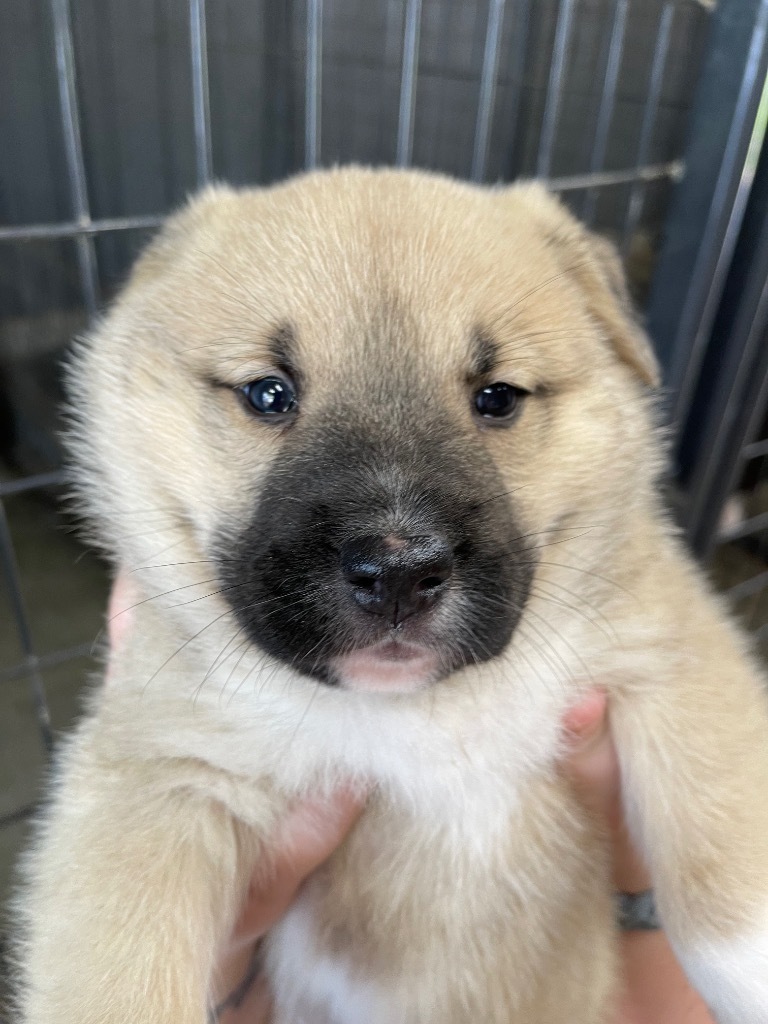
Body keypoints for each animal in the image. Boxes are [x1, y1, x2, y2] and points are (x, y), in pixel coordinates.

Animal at [12, 167, 768, 1024]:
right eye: (268, 394)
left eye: (498, 397)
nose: (400, 570)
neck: (416, 712)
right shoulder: (160, 775)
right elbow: (118, 972)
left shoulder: (675, 656)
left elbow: (724, 875)